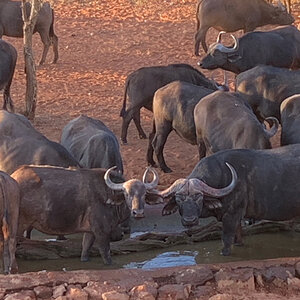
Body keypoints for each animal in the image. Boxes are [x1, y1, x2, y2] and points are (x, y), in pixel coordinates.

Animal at [158, 145, 300, 255]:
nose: (189, 220)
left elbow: (226, 238)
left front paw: (224, 253)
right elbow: (238, 235)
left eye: (199, 197)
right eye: (178, 199)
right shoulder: (237, 217)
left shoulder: (231, 215)